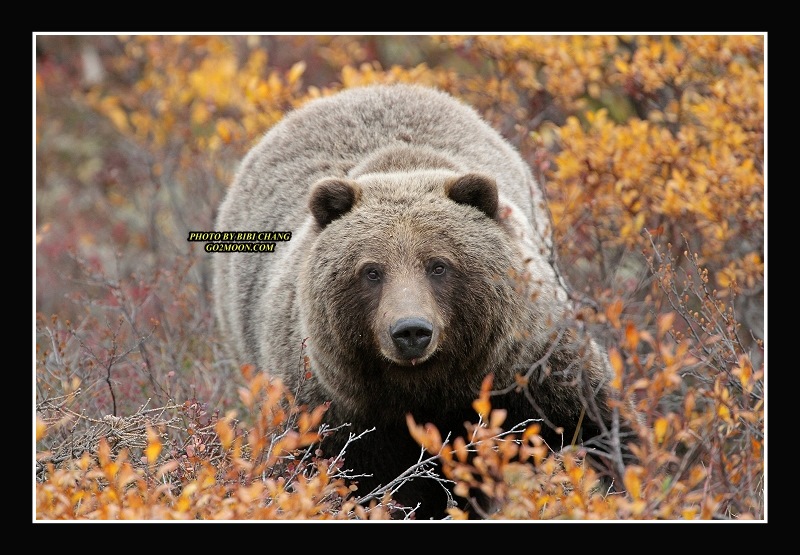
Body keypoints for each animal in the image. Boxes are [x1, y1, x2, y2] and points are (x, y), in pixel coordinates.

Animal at [211, 83, 632, 520]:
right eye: (371, 271)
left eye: (438, 265)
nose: (411, 331)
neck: (428, 390)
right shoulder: (336, 410)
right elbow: (346, 481)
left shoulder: (529, 364)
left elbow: (598, 421)